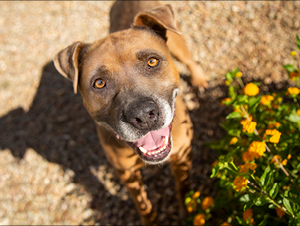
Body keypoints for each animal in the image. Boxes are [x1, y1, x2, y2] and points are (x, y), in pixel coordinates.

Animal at [53, 1, 206, 224]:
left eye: (152, 61)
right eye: (99, 83)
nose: (143, 115)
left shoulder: (182, 155)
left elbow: (184, 187)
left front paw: (189, 212)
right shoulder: (127, 175)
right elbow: (143, 204)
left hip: (178, 43)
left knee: (189, 60)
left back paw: (199, 80)